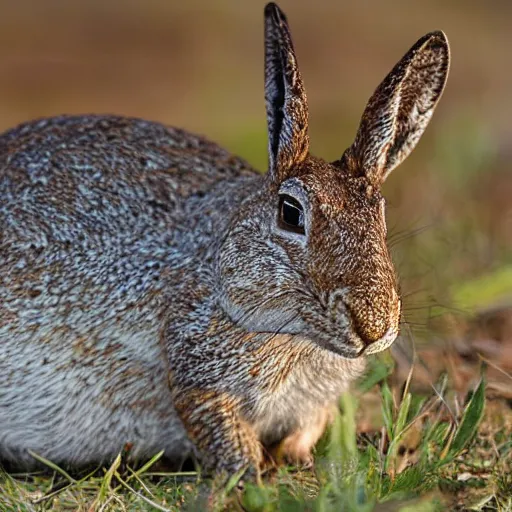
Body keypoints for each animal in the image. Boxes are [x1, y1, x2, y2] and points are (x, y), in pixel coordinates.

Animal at [0, 2, 448, 478]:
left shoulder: (312, 403)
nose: (374, 326)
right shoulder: (196, 376)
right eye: (291, 213)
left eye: (380, 214)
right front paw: (252, 474)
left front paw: (296, 459)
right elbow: (223, 432)